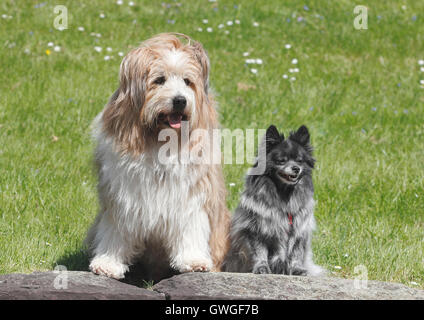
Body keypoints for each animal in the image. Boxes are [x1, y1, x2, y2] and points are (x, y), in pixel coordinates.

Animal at [85, 33, 230, 280]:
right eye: (159, 80)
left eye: (187, 81)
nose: (180, 100)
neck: (161, 139)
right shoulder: (122, 196)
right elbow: (116, 231)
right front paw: (109, 263)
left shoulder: (191, 195)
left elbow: (191, 226)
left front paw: (193, 260)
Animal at [224, 124, 322, 276]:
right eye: (282, 160)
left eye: (299, 160)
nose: (296, 168)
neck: (284, 194)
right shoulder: (256, 230)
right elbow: (259, 252)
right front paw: (262, 268)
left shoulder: (299, 230)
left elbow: (296, 252)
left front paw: (297, 269)